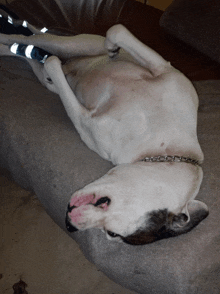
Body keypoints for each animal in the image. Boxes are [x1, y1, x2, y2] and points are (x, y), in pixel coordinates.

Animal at [0, 10, 209, 245]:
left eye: (112, 234)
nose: (69, 224)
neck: (162, 145)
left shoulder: (84, 121)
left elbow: (53, 69)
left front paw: (51, 67)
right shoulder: (165, 70)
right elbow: (117, 30)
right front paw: (111, 48)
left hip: (54, 69)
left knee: (31, 55)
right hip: (73, 44)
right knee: (30, 38)